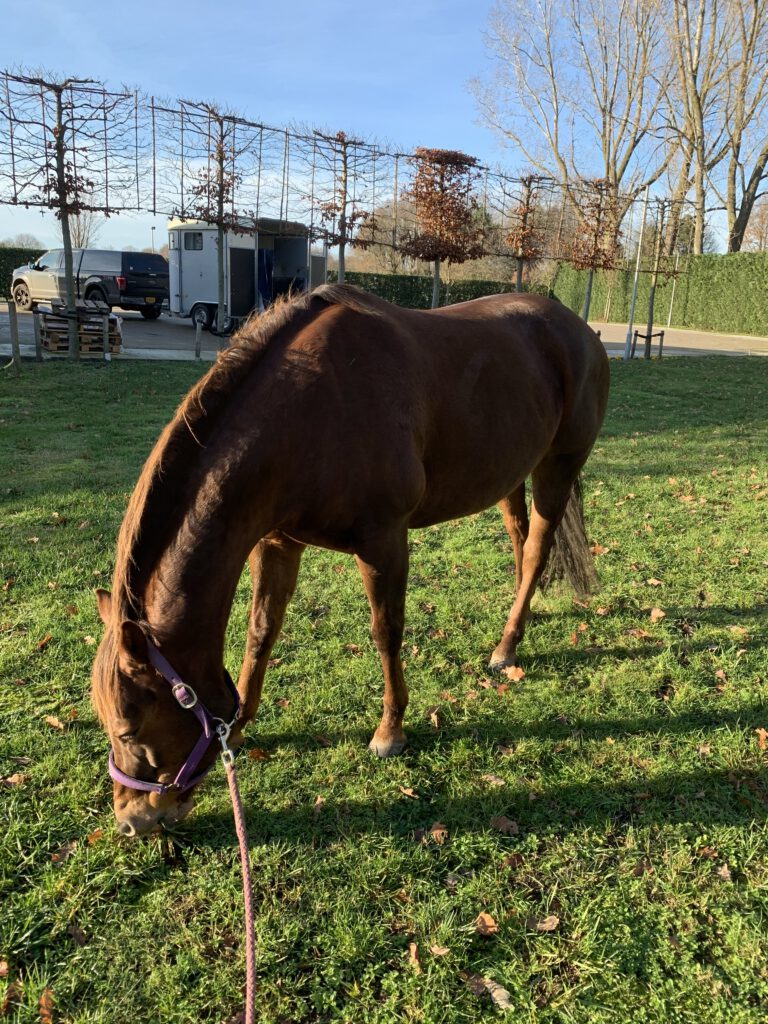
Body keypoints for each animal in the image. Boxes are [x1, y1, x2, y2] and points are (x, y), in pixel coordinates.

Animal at [91, 284, 610, 836]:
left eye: (129, 728)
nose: (131, 820)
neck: (309, 413)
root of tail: (580, 330)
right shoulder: (277, 544)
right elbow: (260, 634)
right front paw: (244, 721)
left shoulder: (383, 542)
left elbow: (386, 633)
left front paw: (390, 731)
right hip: (510, 473)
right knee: (520, 540)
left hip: (558, 467)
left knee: (535, 551)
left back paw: (507, 646)